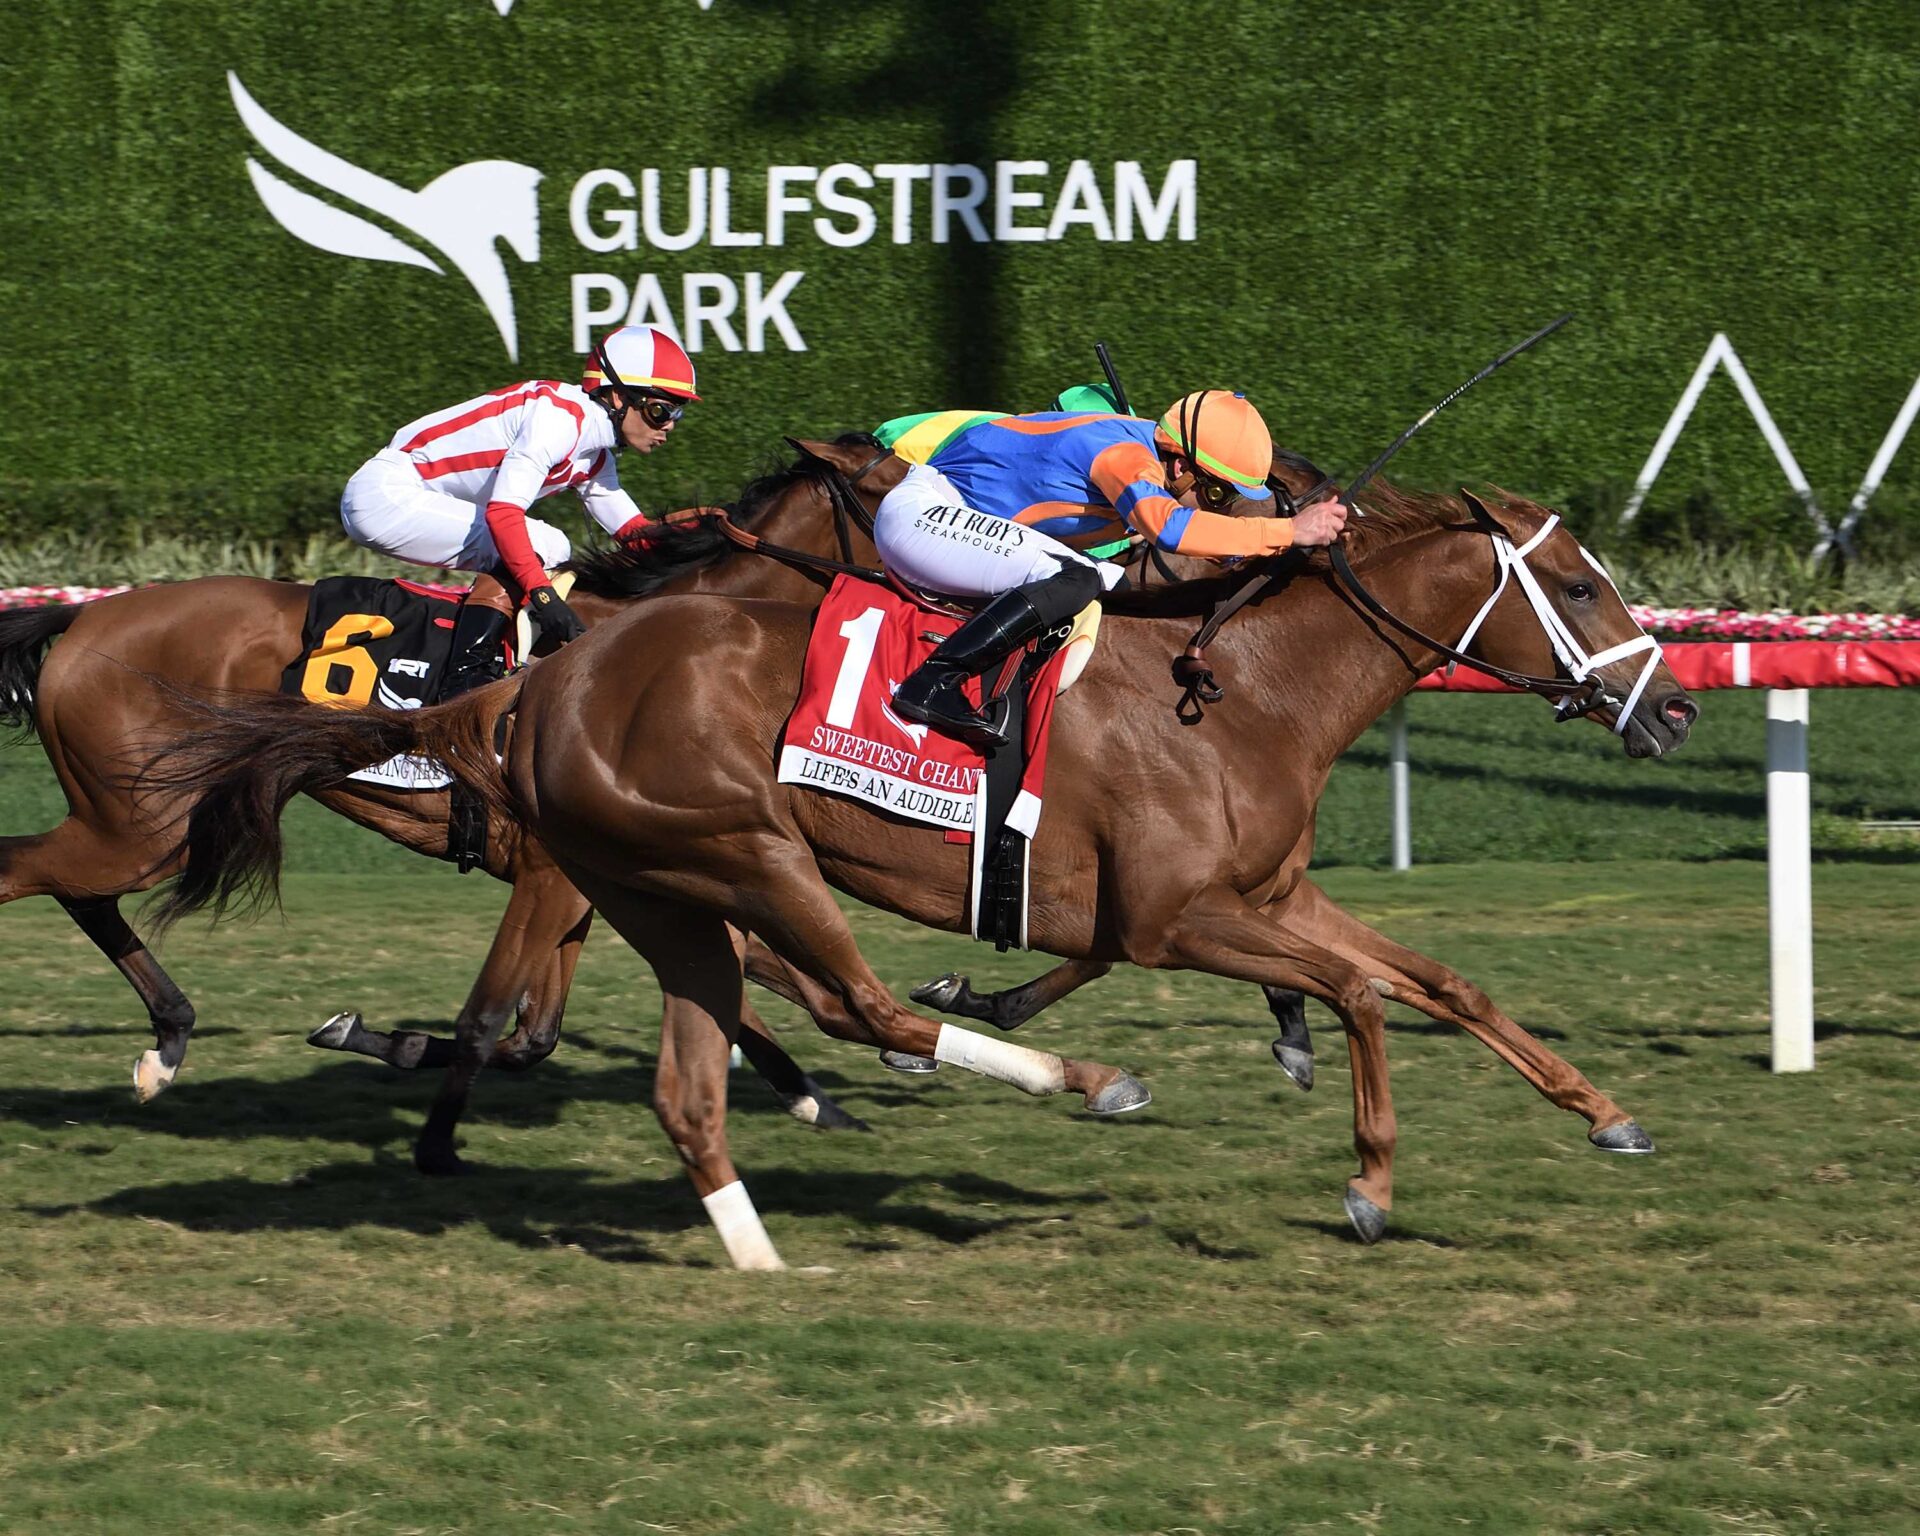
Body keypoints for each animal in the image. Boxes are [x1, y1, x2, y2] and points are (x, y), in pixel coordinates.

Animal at [152, 481, 1699, 1264]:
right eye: (1575, 586)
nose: (1676, 708)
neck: (1239, 692)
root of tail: (537, 681)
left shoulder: (1267, 897)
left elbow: (1443, 982)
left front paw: (1607, 1112)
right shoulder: (1180, 920)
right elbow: (1369, 999)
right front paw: (1371, 1183)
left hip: (660, 881)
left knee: (698, 1058)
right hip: (748, 848)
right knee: (853, 1003)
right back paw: (1074, 1080)